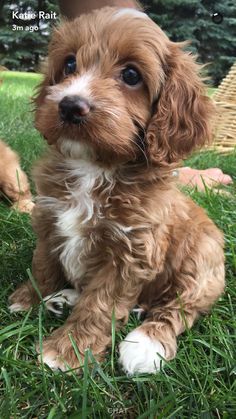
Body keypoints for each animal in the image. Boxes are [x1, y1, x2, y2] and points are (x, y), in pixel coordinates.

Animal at [8, 7, 224, 374]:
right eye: (69, 64)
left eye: (132, 75)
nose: (70, 105)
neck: (95, 168)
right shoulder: (48, 218)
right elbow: (44, 263)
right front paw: (30, 297)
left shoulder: (131, 254)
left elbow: (100, 303)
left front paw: (66, 351)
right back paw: (64, 299)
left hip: (204, 261)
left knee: (180, 308)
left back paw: (146, 342)